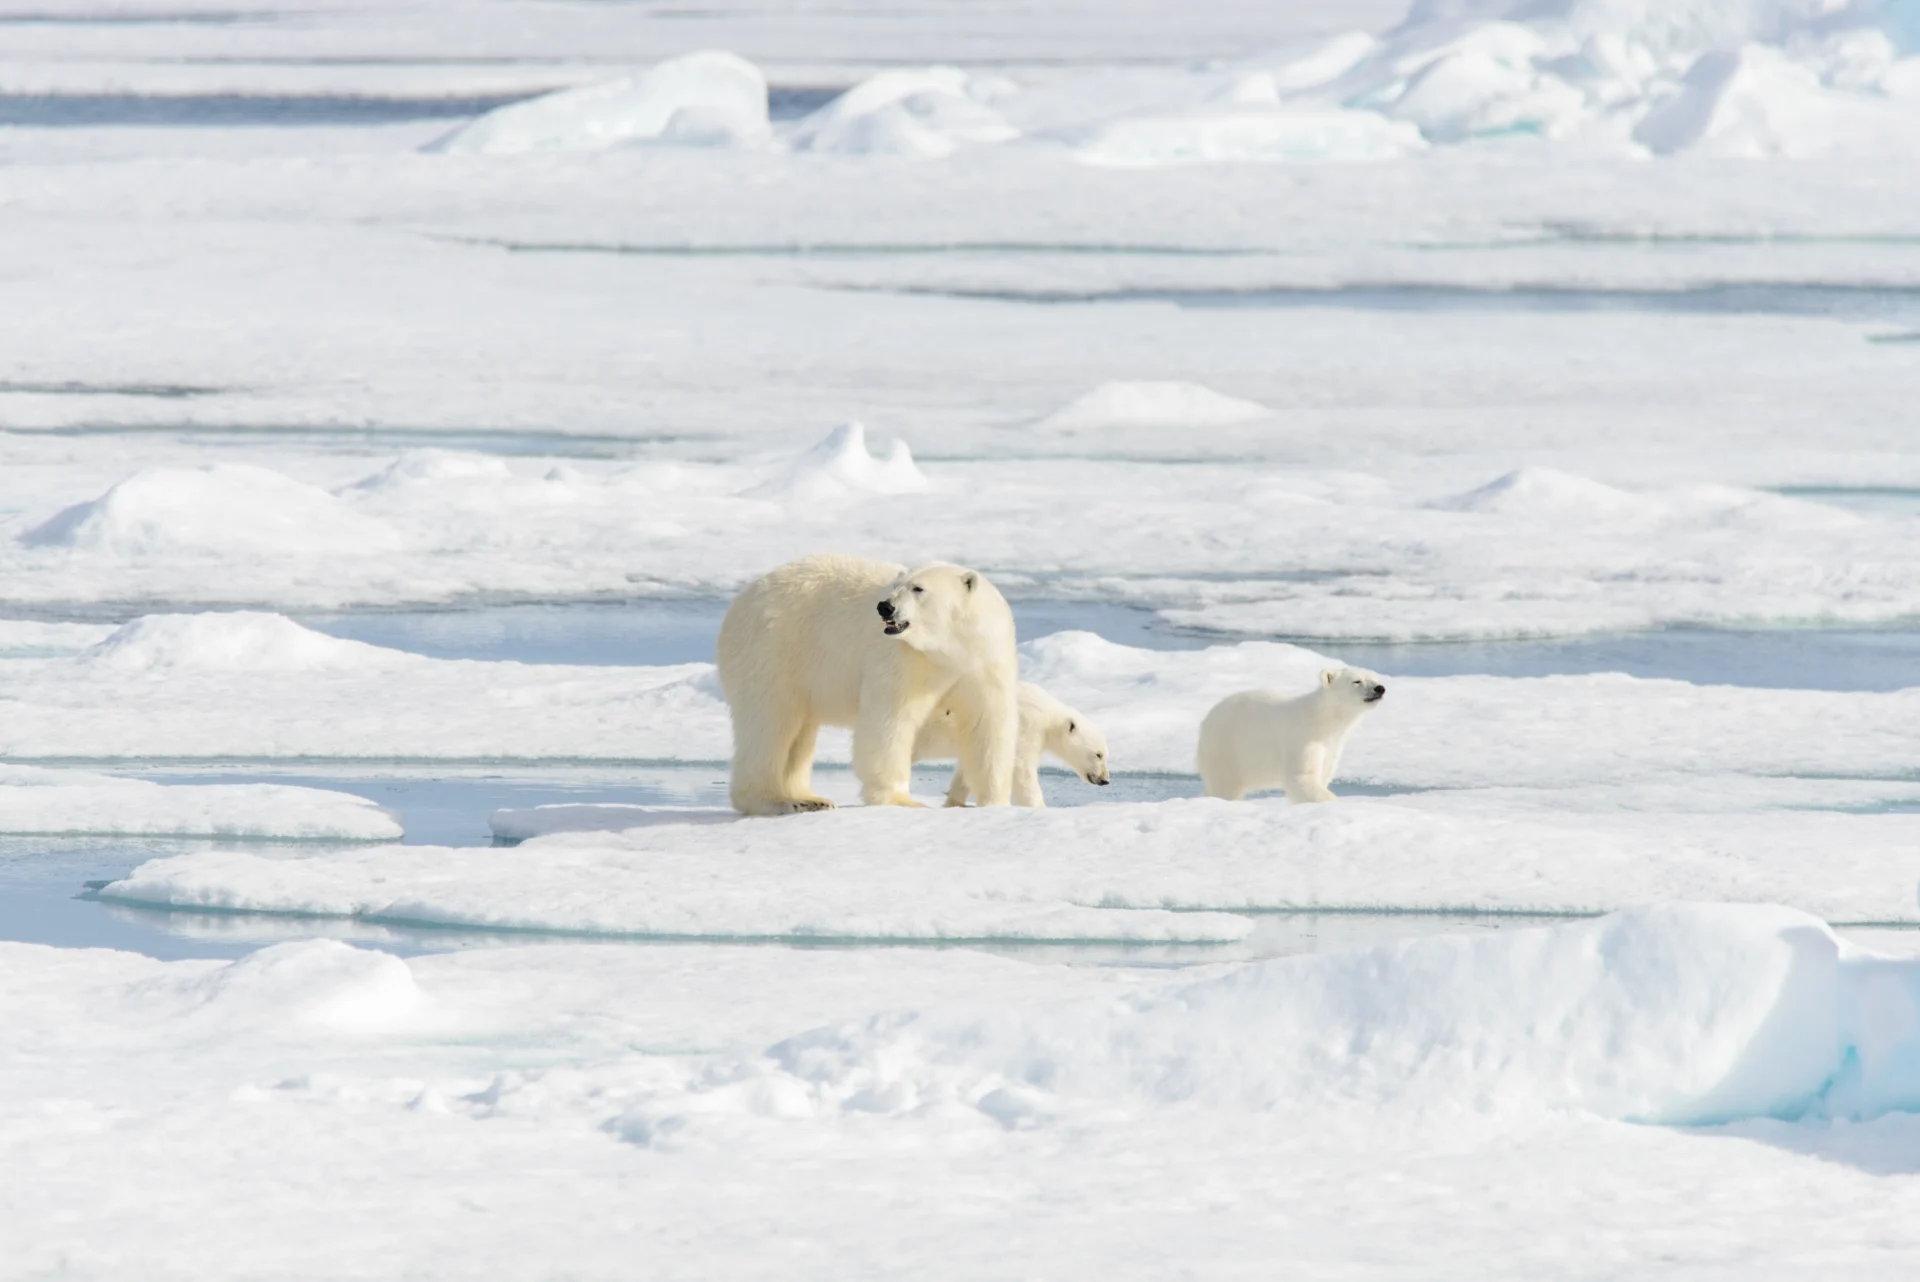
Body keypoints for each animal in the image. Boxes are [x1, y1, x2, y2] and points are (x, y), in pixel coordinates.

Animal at [718, 548, 1021, 809]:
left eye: (918, 588)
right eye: (896, 586)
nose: (885, 607)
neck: (949, 652)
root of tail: (740, 602)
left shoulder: (985, 662)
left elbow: (987, 727)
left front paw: (996, 803)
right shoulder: (905, 660)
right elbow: (888, 722)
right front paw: (902, 801)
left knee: (798, 736)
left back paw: (810, 798)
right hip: (774, 651)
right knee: (770, 724)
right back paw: (775, 801)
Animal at [913, 675, 1113, 806]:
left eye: (1105, 754)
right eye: (1098, 754)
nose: (1105, 780)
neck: (1048, 714)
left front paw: (955, 802)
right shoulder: (1026, 726)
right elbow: (1021, 769)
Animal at [1190, 671, 1390, 802]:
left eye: (1375, 678)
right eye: (1356, 681)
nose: (1380, 688)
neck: (1322, 721)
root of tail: (1205, 721)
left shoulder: (1331, 747)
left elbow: (1322, 776)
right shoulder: (1302, 739)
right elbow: (1302, 776)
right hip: (1227, 747)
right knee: (1225, 786)